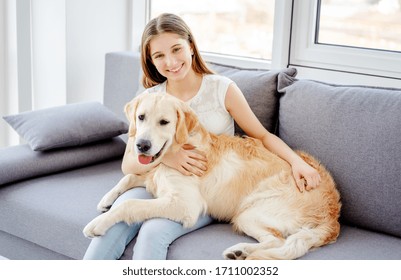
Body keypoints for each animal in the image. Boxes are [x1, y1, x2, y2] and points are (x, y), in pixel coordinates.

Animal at [83, 92, 340, 260]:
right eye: (141, 117)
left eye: (164, 122)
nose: (142, 145)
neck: (178, 149)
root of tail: (333, 214)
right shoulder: (151, 174)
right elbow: (127, 178)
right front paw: (106, 201)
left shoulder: (185, 205)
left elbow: (131, 205)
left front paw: (98, 223)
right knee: (275, 241)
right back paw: (240, 252)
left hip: (250, 211)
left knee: (279, 240)